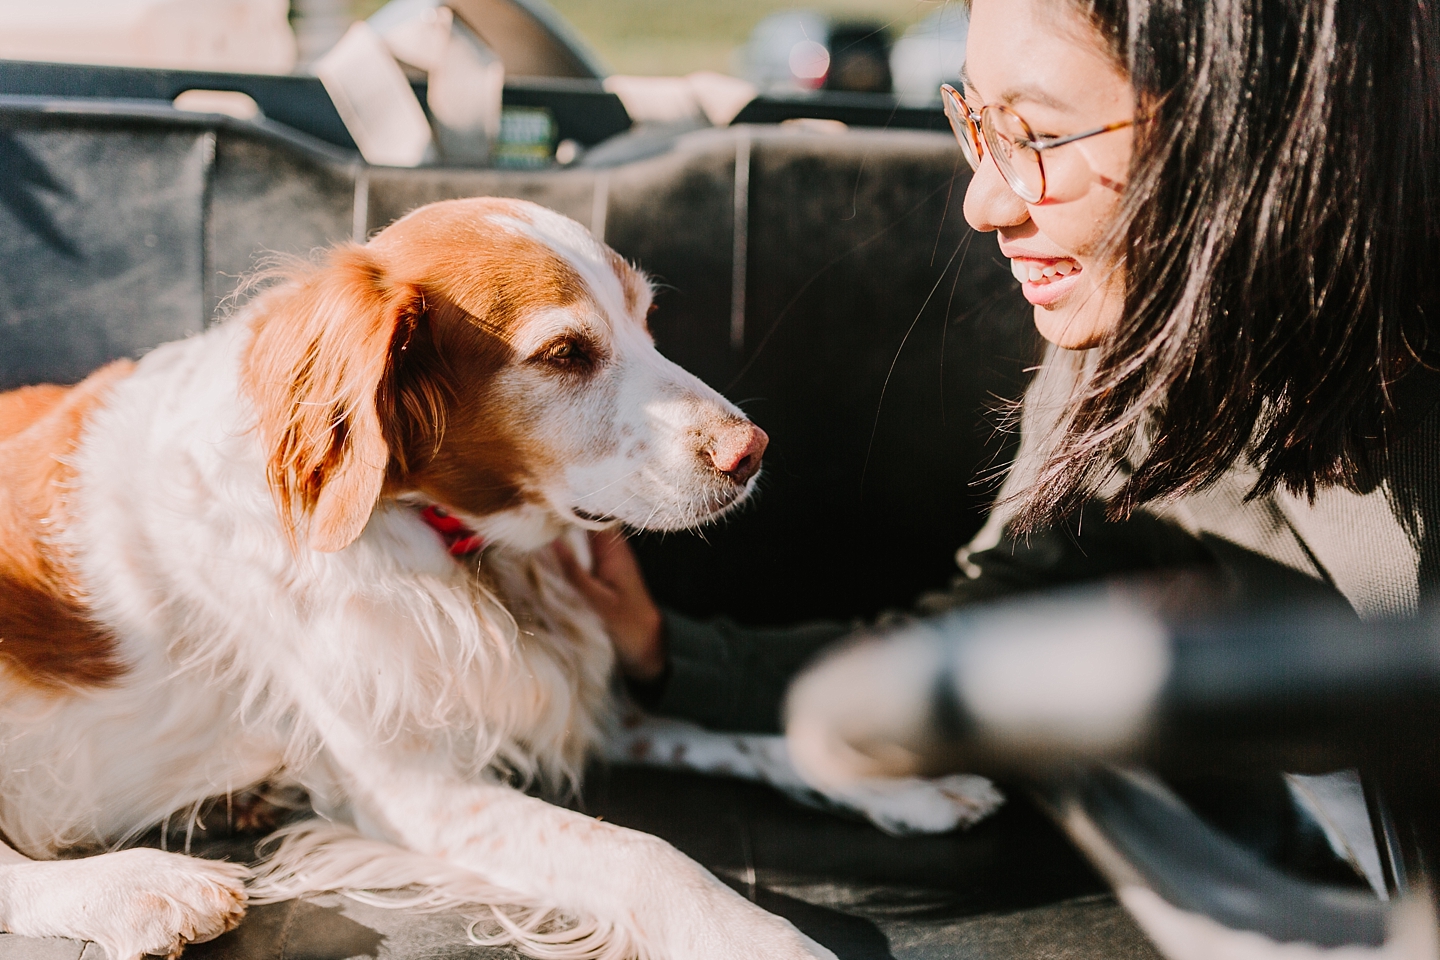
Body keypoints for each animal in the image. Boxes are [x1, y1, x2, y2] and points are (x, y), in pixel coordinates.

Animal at [0, 197, 840, 960]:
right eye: (565, 353)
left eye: (646, 320)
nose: (752, 451)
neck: (433, 529)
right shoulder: (414, 792)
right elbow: (643, 853)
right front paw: (764, 939)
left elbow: (730, 741)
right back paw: (144, 889)